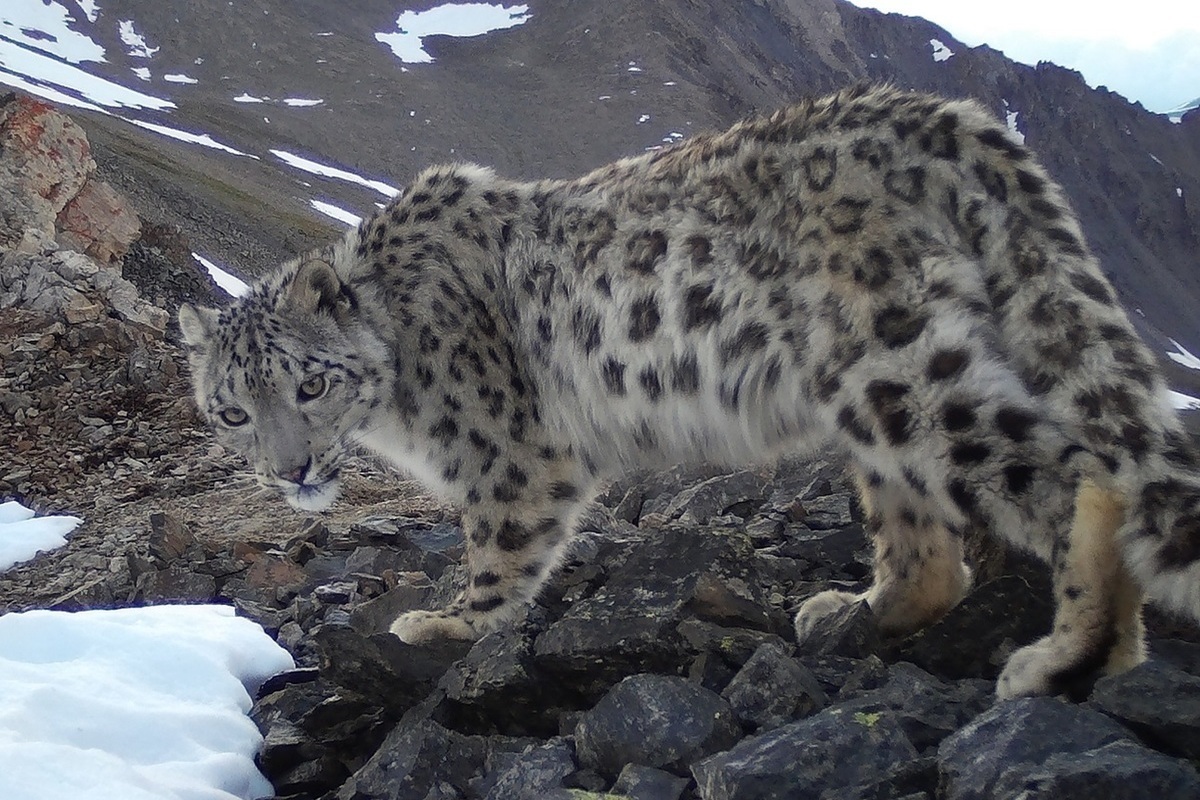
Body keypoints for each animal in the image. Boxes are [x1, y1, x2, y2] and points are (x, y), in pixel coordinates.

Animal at [177, 86, 1200, 700]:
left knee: (1078, 474)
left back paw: (1068, 656)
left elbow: (500, 547)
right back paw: (856, 611)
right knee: (932, 547)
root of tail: (932, 112)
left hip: (904, 368)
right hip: (875, 398)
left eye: (311, 381)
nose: (292, 470)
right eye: (232, 411)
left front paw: (444, 622)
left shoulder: (511, 455)